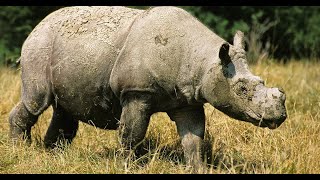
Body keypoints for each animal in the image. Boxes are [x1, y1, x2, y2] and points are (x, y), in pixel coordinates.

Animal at [8, 5, 286, 172]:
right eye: (242, 89)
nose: (279, 116)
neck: (204, 61)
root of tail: (38, 25)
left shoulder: (188, 99)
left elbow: (193, 138)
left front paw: (199, 168)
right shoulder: (137, 92)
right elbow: (132, 134)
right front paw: (128, 166)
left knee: (64, 109)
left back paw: (53, 156)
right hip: (39, 47)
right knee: (36, 101)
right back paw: (19, 150)